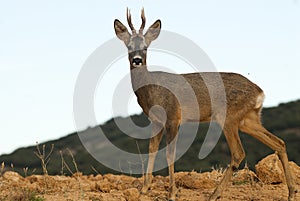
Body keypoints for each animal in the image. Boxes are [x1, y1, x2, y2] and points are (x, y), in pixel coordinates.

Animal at [113, 8, 296, 201]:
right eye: (128, 46)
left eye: (146, 47)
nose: (137, 60)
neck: (151, 89)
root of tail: (259, 92)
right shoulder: (156, 121)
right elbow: (152, 150)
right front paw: (144, 189)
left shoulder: (173, 117)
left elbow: (170, 154)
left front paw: (172, 193)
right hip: (248, 119)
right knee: (279, 143)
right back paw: (291, 192)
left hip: (228, 117)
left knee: (238, 153)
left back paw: (215, 194)